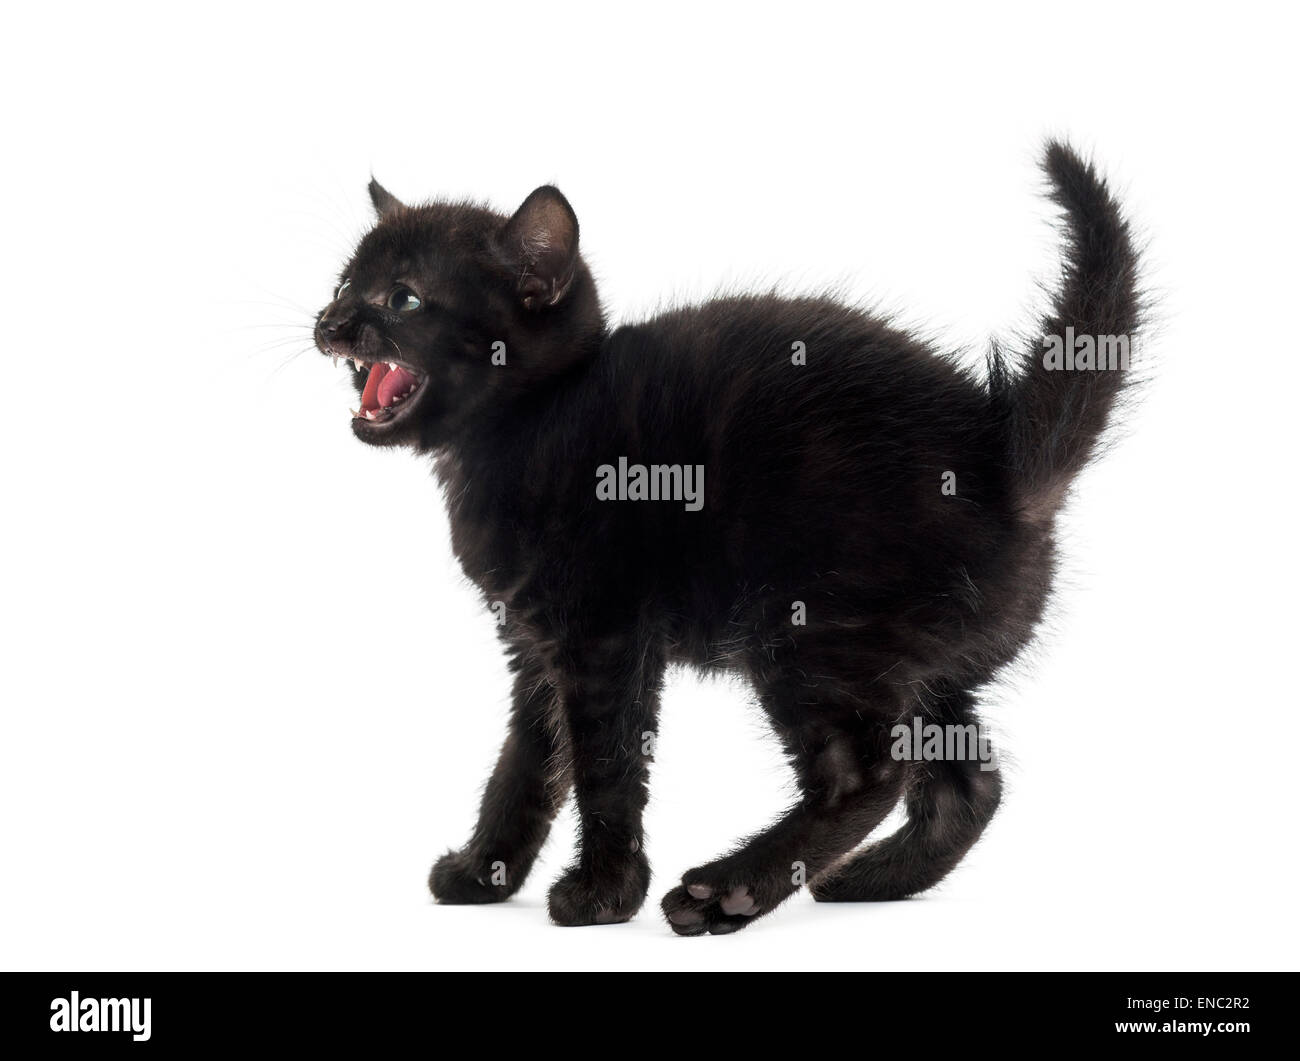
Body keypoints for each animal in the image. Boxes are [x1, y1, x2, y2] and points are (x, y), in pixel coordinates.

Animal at [312, 143, 1138, 936]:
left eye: (404, 298)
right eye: (344, 285)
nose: (327, 323)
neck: (530, 422)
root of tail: (1005, 460)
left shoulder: (602, 635)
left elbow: (605, 765)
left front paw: (602, 895)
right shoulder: (534, 645)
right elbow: (524, 765)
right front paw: (483, 872)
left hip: (810, 629)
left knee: (869, 773)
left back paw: (730, 891)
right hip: (919, 661)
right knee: (969, 782)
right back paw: (868, 880)